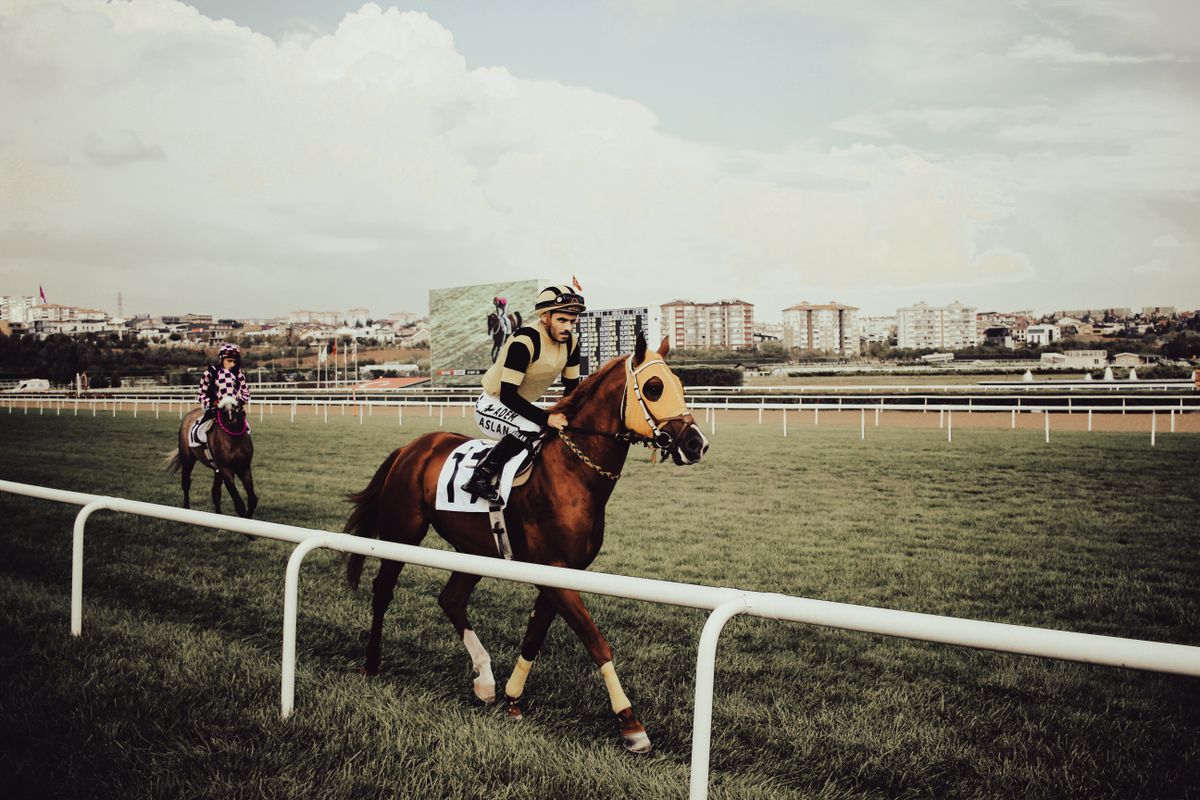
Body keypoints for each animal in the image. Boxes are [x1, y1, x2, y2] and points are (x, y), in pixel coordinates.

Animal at [344, 333, 709, 753]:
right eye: (653, 387)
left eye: (680, 384)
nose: (696, 444)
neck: (574, 472)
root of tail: (412, 447)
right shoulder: (554, 570)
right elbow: (596, 642)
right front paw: (631, 724)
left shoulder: (563, 572)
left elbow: (534, 637)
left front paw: (512, 698)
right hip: (401, 531)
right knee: (383, 590)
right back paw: (371, 662)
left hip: (475, 550)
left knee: (451, 599)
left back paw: (485, 680)